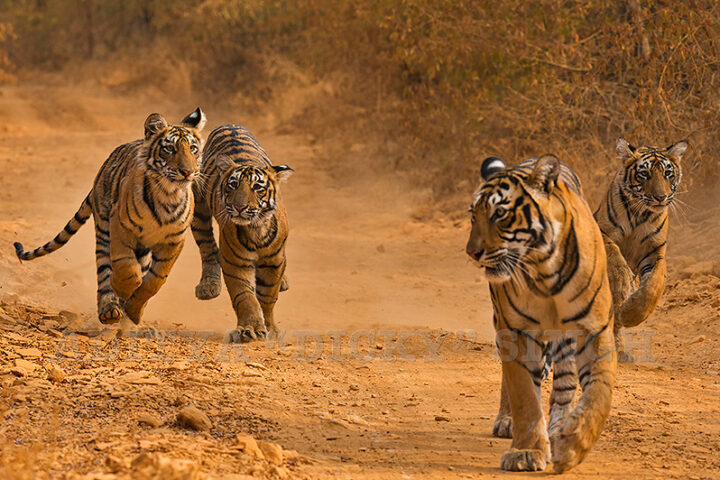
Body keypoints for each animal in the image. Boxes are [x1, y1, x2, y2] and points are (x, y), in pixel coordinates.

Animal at [14, 108, 207, 326]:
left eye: (193, 149)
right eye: (170, 149)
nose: (188, 172)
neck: (168, 194)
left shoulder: (174, 241)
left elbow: (155, 279)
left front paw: (134, 309)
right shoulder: (120, 225)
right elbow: (125, 266)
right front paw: (123, 288)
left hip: (142, 246)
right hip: (104, 229)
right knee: (105, 268)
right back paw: (110, 310)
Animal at [193, 124, 294, 342]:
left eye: (257, 187)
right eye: (233, 185)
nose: (239, 207)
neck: (257, 228)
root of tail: (229, 124)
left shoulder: (274, 262)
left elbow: (267, 297)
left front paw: (270, 328)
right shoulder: (235, 262)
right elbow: (245, 297)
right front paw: (251, 329)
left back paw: (284, 282)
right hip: (199, 210)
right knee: (207, 247)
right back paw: (208, 285)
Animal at [466, 156, 620, 470]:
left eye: (500, 213)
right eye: (473, 215)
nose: (472, 252)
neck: (544, 271)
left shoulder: (595, 329)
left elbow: (598, 393)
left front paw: (573, 444)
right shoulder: (516, 331)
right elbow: (524, 394)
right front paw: (526, 452)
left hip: (564, 339)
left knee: (564, 383)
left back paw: (560, 427)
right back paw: (507, 421)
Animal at [592, 137, 688, 362]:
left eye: (668, 173)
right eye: (644, 174)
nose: (661, 197)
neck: (640, 214)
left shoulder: (655, 254)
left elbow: (653, 286)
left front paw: (630, 313)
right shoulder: (602, 232)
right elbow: (614, 254)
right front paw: (622, 283)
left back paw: (620, 351)